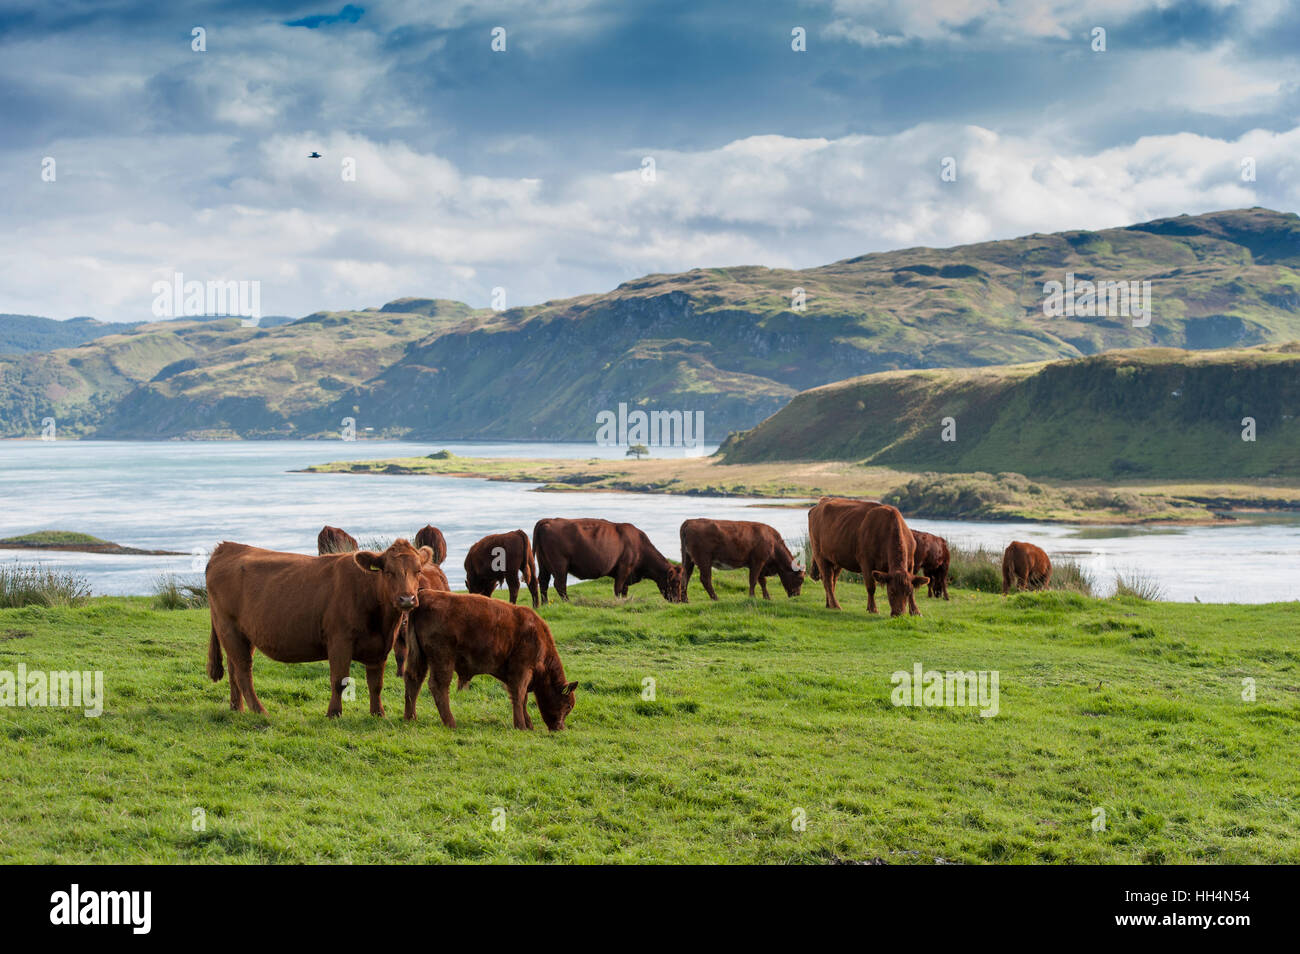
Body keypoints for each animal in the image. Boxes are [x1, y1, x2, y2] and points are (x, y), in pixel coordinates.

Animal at [205, 538, 431, 717]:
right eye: (389, 572)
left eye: (418, 571)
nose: (407, 599)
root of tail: (227, 547)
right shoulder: (339, 641)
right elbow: (339, 680)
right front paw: (334, 713)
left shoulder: (380, 646)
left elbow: (376, 684)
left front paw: (378, 713)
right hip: (229, 627)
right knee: (244, 672)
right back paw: (259, 711)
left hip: (243, 634)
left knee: (234, 669)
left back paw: (237, 708)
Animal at [400, 590, 574, 733]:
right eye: (567, 705)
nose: (560, 728)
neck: (537, 634)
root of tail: (425, 594)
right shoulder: (522, 670)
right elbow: (519, 696)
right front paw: (521, 726)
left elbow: (522, 698)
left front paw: (528, 725)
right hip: (443, 660)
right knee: (438, 686)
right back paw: (451, 723)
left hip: (420, 658)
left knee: (413, 680)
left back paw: (410, 718)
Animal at [530, 519, 686, 600]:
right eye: (676, 581)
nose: (678, 601)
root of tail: (548, 521)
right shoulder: (624, 568)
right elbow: (618, 588)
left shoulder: (627, 574)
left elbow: (624, 590)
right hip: (560, 565)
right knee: (560, 585)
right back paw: (568, 602)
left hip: (544, 564)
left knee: (543, 582)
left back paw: (544, 604)